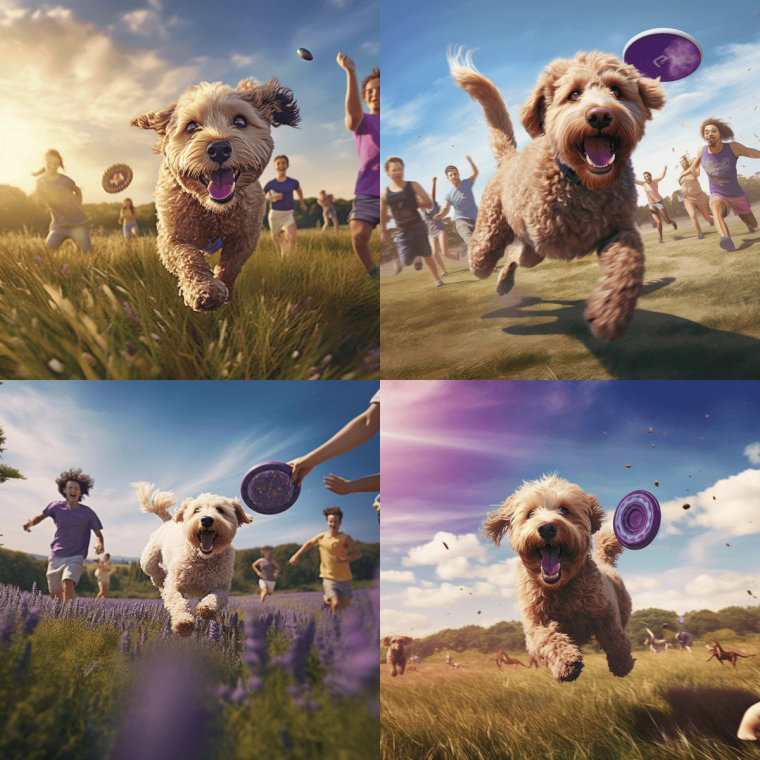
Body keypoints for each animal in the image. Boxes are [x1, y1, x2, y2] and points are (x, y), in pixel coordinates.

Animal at [132, 78, 298, 312]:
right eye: (192, 126)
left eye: (240, 121)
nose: (219, 148)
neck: (212, 211)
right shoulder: (171, 237)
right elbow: (187, 257)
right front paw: (205, 290)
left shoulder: (245, 237)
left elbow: (231, 265)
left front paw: (224, 291)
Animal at [136, 480, 252, 636]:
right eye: (196, 510)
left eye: (220, 510)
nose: (207, 519)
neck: (203, 558)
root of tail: (167, 521)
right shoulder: (174, 584)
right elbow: (177, 602)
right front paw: (183, 622)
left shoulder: (220, 587)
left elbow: (217, 598)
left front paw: (206, 609)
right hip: (149, 557)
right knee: (153, 572)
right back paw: (160, 579)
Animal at [452, 50, 664, 342]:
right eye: (574, 94)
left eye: (616, 91)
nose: (599, 115)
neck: (585, 184)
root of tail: (511, 158)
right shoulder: (544, 235)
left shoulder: (619, 229)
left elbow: (629, 257)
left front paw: (610, 313)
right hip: (489, 244)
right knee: (494, 257)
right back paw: (504, 286)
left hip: (533, 252)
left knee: (515, 254)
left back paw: (507, 283)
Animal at [484, 476, 640, 684]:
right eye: (530, 513)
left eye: (564, 510)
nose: (547, 527)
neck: (560, 588)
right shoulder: (535, 625)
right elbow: (549, 638)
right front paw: (566, 663)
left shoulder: (605, 609)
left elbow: (614, 636)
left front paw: (622, 663)